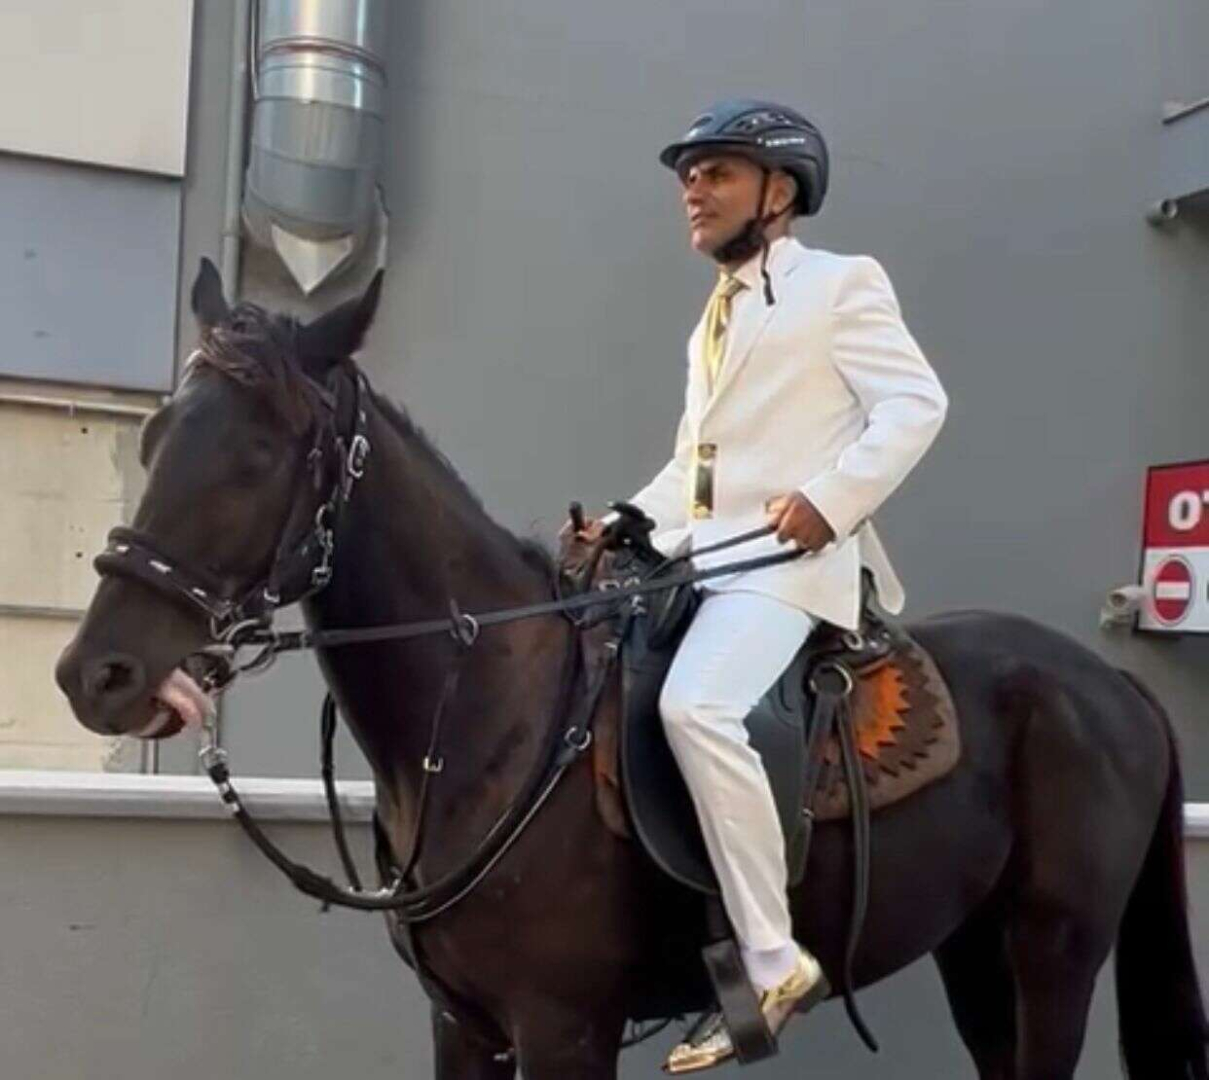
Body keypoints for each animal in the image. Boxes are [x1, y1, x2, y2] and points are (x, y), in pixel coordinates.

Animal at [56, 260, 1208, 1079]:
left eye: (256, 454)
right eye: (152, 438)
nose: (95, 674)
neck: (494, 716)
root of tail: (1116, 688)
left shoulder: (564, 1026)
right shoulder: (465, 1027)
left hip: (1053, 949)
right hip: (975, 947)